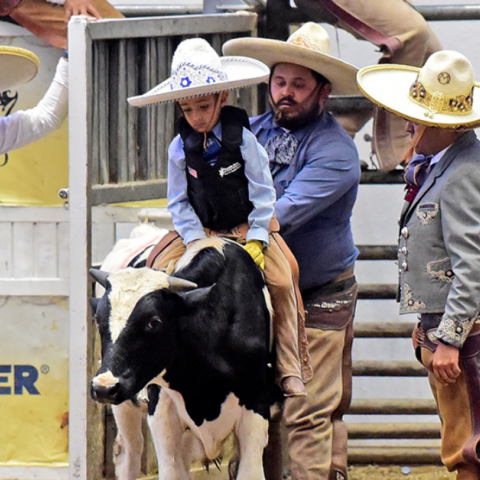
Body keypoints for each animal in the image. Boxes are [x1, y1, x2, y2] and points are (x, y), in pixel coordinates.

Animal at [89, 236, 274, 480]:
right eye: (99, 320)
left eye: (154, 322)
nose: (103, 387)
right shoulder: (162, 415)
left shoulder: (256, 412)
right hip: (125, 407)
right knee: (130, 453)